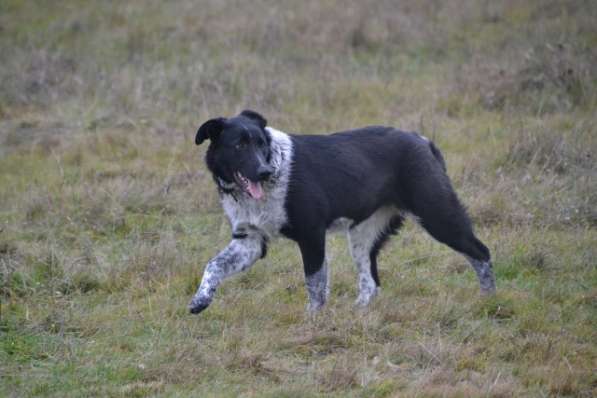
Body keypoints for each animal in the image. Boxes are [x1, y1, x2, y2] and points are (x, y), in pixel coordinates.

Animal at [189, 110, 496, 316]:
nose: (264, 171)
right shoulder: (250, 241)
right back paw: (357, 313)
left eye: (261, 144)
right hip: (363, 236)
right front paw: (200, 300)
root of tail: (424, 142)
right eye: (239, 145)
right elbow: (213, 265)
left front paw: (313, 321)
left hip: (437, 214)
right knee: (370, 283)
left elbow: (314, 284)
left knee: (481, 253)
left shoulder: (311, 234)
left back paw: (488, 299)